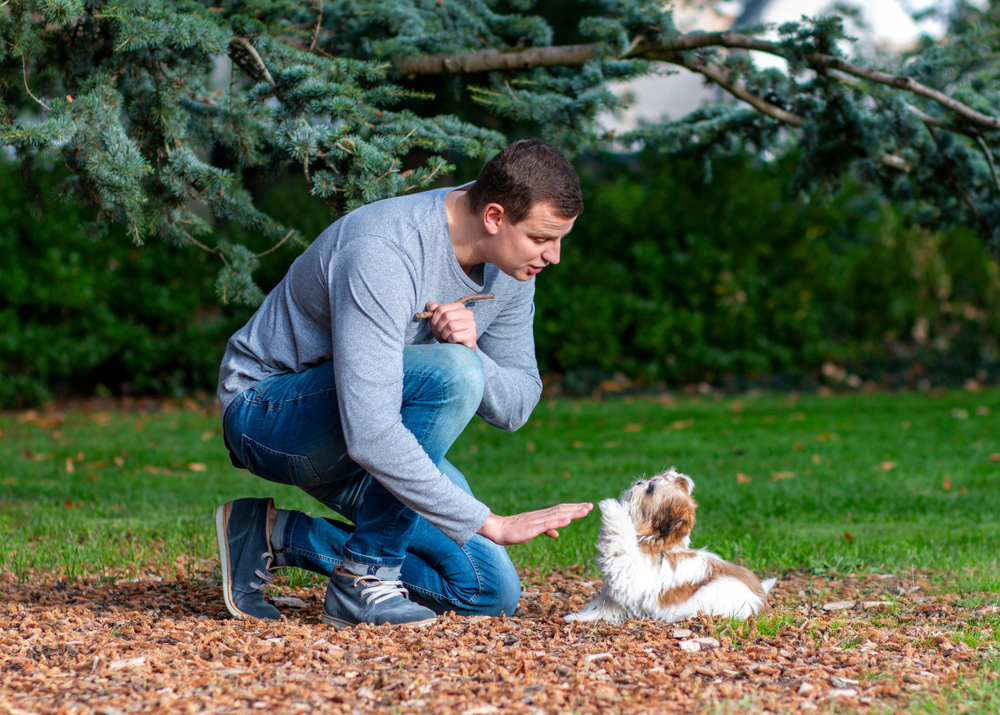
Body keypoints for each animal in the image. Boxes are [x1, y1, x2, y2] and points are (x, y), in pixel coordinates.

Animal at [564, 468, 772, 624]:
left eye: (650, 489)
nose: (639, 482)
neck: (653, 544)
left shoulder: (629, 569)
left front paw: (612, 507)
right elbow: (605, 604)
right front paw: (581, 616)